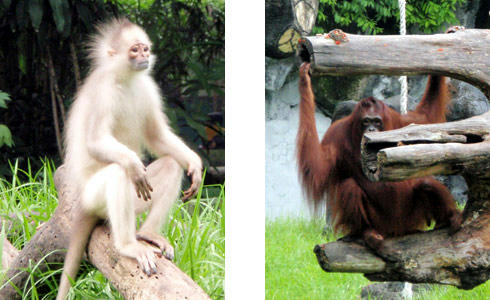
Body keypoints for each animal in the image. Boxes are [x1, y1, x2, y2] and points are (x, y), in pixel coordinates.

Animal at [56, 19, 202, 300]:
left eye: (145, 48)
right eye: (134, 50)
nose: (144, 56)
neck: (125, 79)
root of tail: (82, 204)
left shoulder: (148, 87)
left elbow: (157, 136)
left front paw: (195, 163)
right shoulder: (103, 91)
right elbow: (96, 142)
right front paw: (134, 164)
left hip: (137, 203)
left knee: (170, 163)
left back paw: (148, 233)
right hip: (94, 197)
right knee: (118, 172)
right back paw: (127, 245)